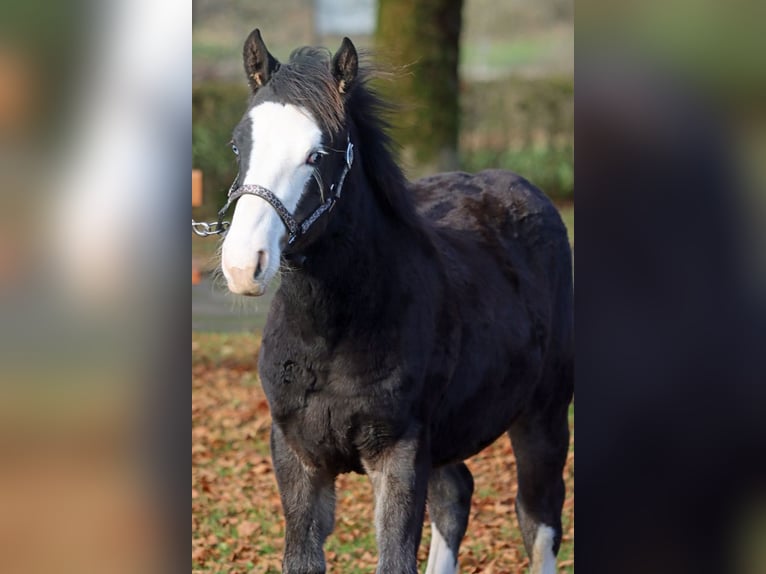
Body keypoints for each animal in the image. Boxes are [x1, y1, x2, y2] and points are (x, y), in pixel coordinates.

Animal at [218, 29, 573, 574]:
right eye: (239, 144)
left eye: (317, 154)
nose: (242, 264)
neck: (332, 335)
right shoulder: (297, 456)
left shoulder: (400, 453)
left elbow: (395, 557)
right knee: (456, 497)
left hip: (545, 413)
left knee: (539, 519)